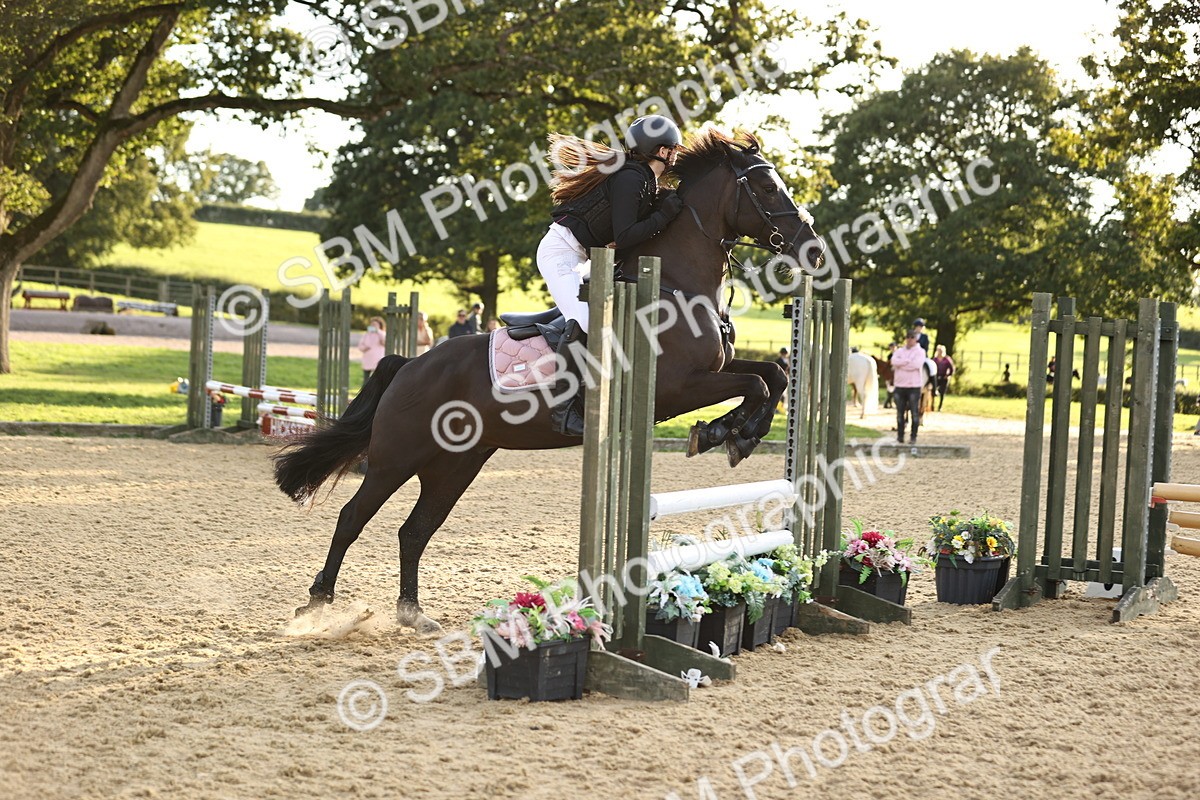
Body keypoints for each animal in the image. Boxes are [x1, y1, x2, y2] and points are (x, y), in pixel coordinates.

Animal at [272, 128, 826, 632]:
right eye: (768, 188)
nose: (816, 250)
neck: (675, 284)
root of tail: (410, 364)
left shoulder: (711, 371)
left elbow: (773, 375)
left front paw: (737, 434)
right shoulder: (678, 387)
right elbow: (757, 385)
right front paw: (724, 434)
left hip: (455, 464)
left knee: (415, 530)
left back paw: (412, 613)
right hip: (398, 457)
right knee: (352, 517)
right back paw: (318, 604)